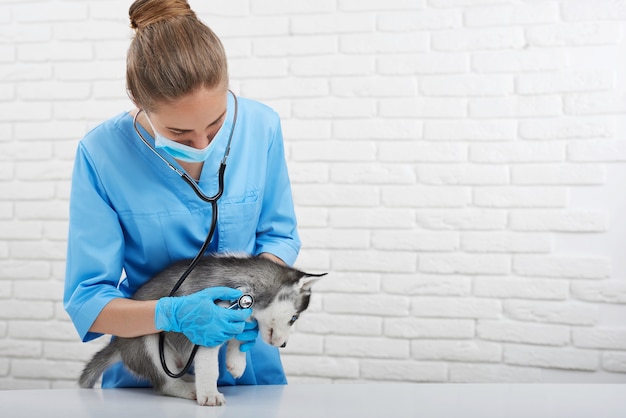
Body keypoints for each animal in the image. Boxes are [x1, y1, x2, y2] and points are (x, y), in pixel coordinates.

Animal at [78, 253, 324, 406]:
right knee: (166, 383)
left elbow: (237, 337)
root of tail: (119, 345)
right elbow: (209, 368)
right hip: (147, 342)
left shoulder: (234, 318)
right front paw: (210, 395)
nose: (284, 344)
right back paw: (188, 389)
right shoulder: (209, 328)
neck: (247, 284)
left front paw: (236, 363)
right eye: (294, 318)